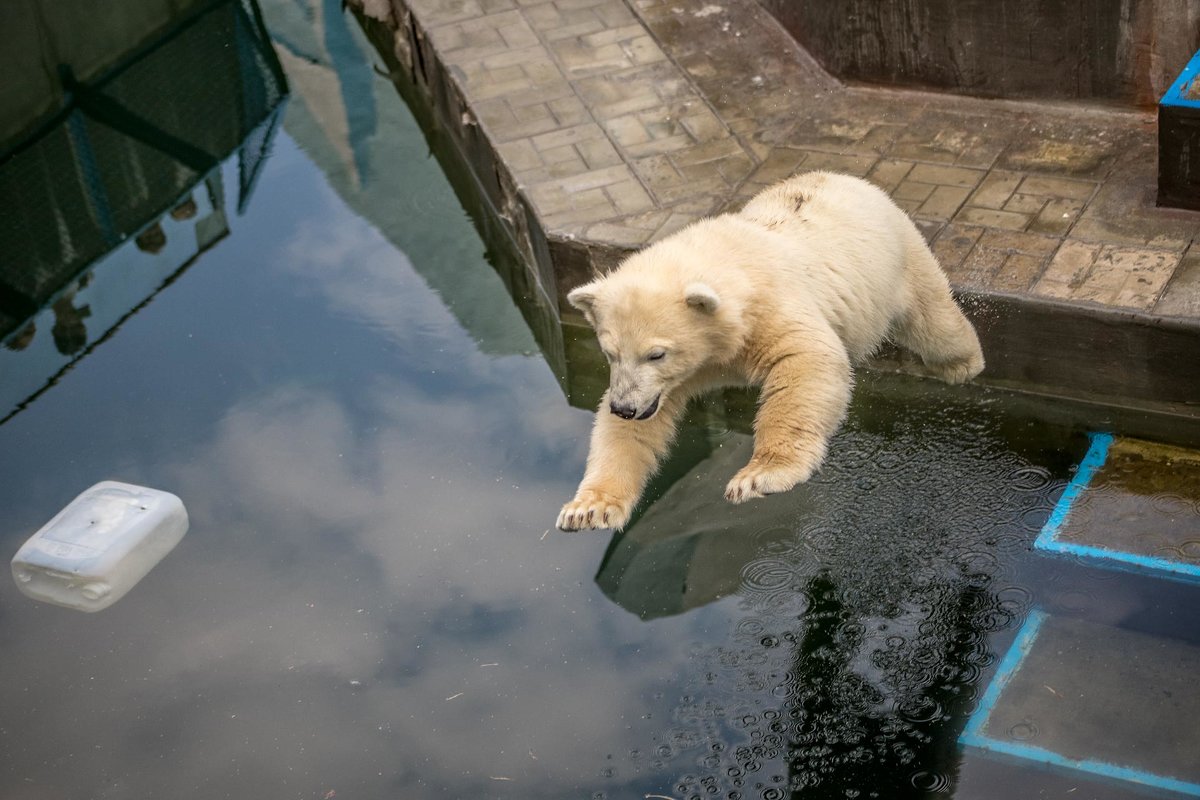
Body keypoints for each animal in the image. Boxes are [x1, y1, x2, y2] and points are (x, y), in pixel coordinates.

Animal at [556, 171, 979, 532]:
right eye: (610, 353)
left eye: (656, 354)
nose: (625, 408)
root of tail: (844, 178)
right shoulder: (680, 374)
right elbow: (637, 429)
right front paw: (588, 509)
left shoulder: (769, 305)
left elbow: (808, 358)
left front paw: (757, 478)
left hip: (897, 256)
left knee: (933, 319)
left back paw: (965, 364)